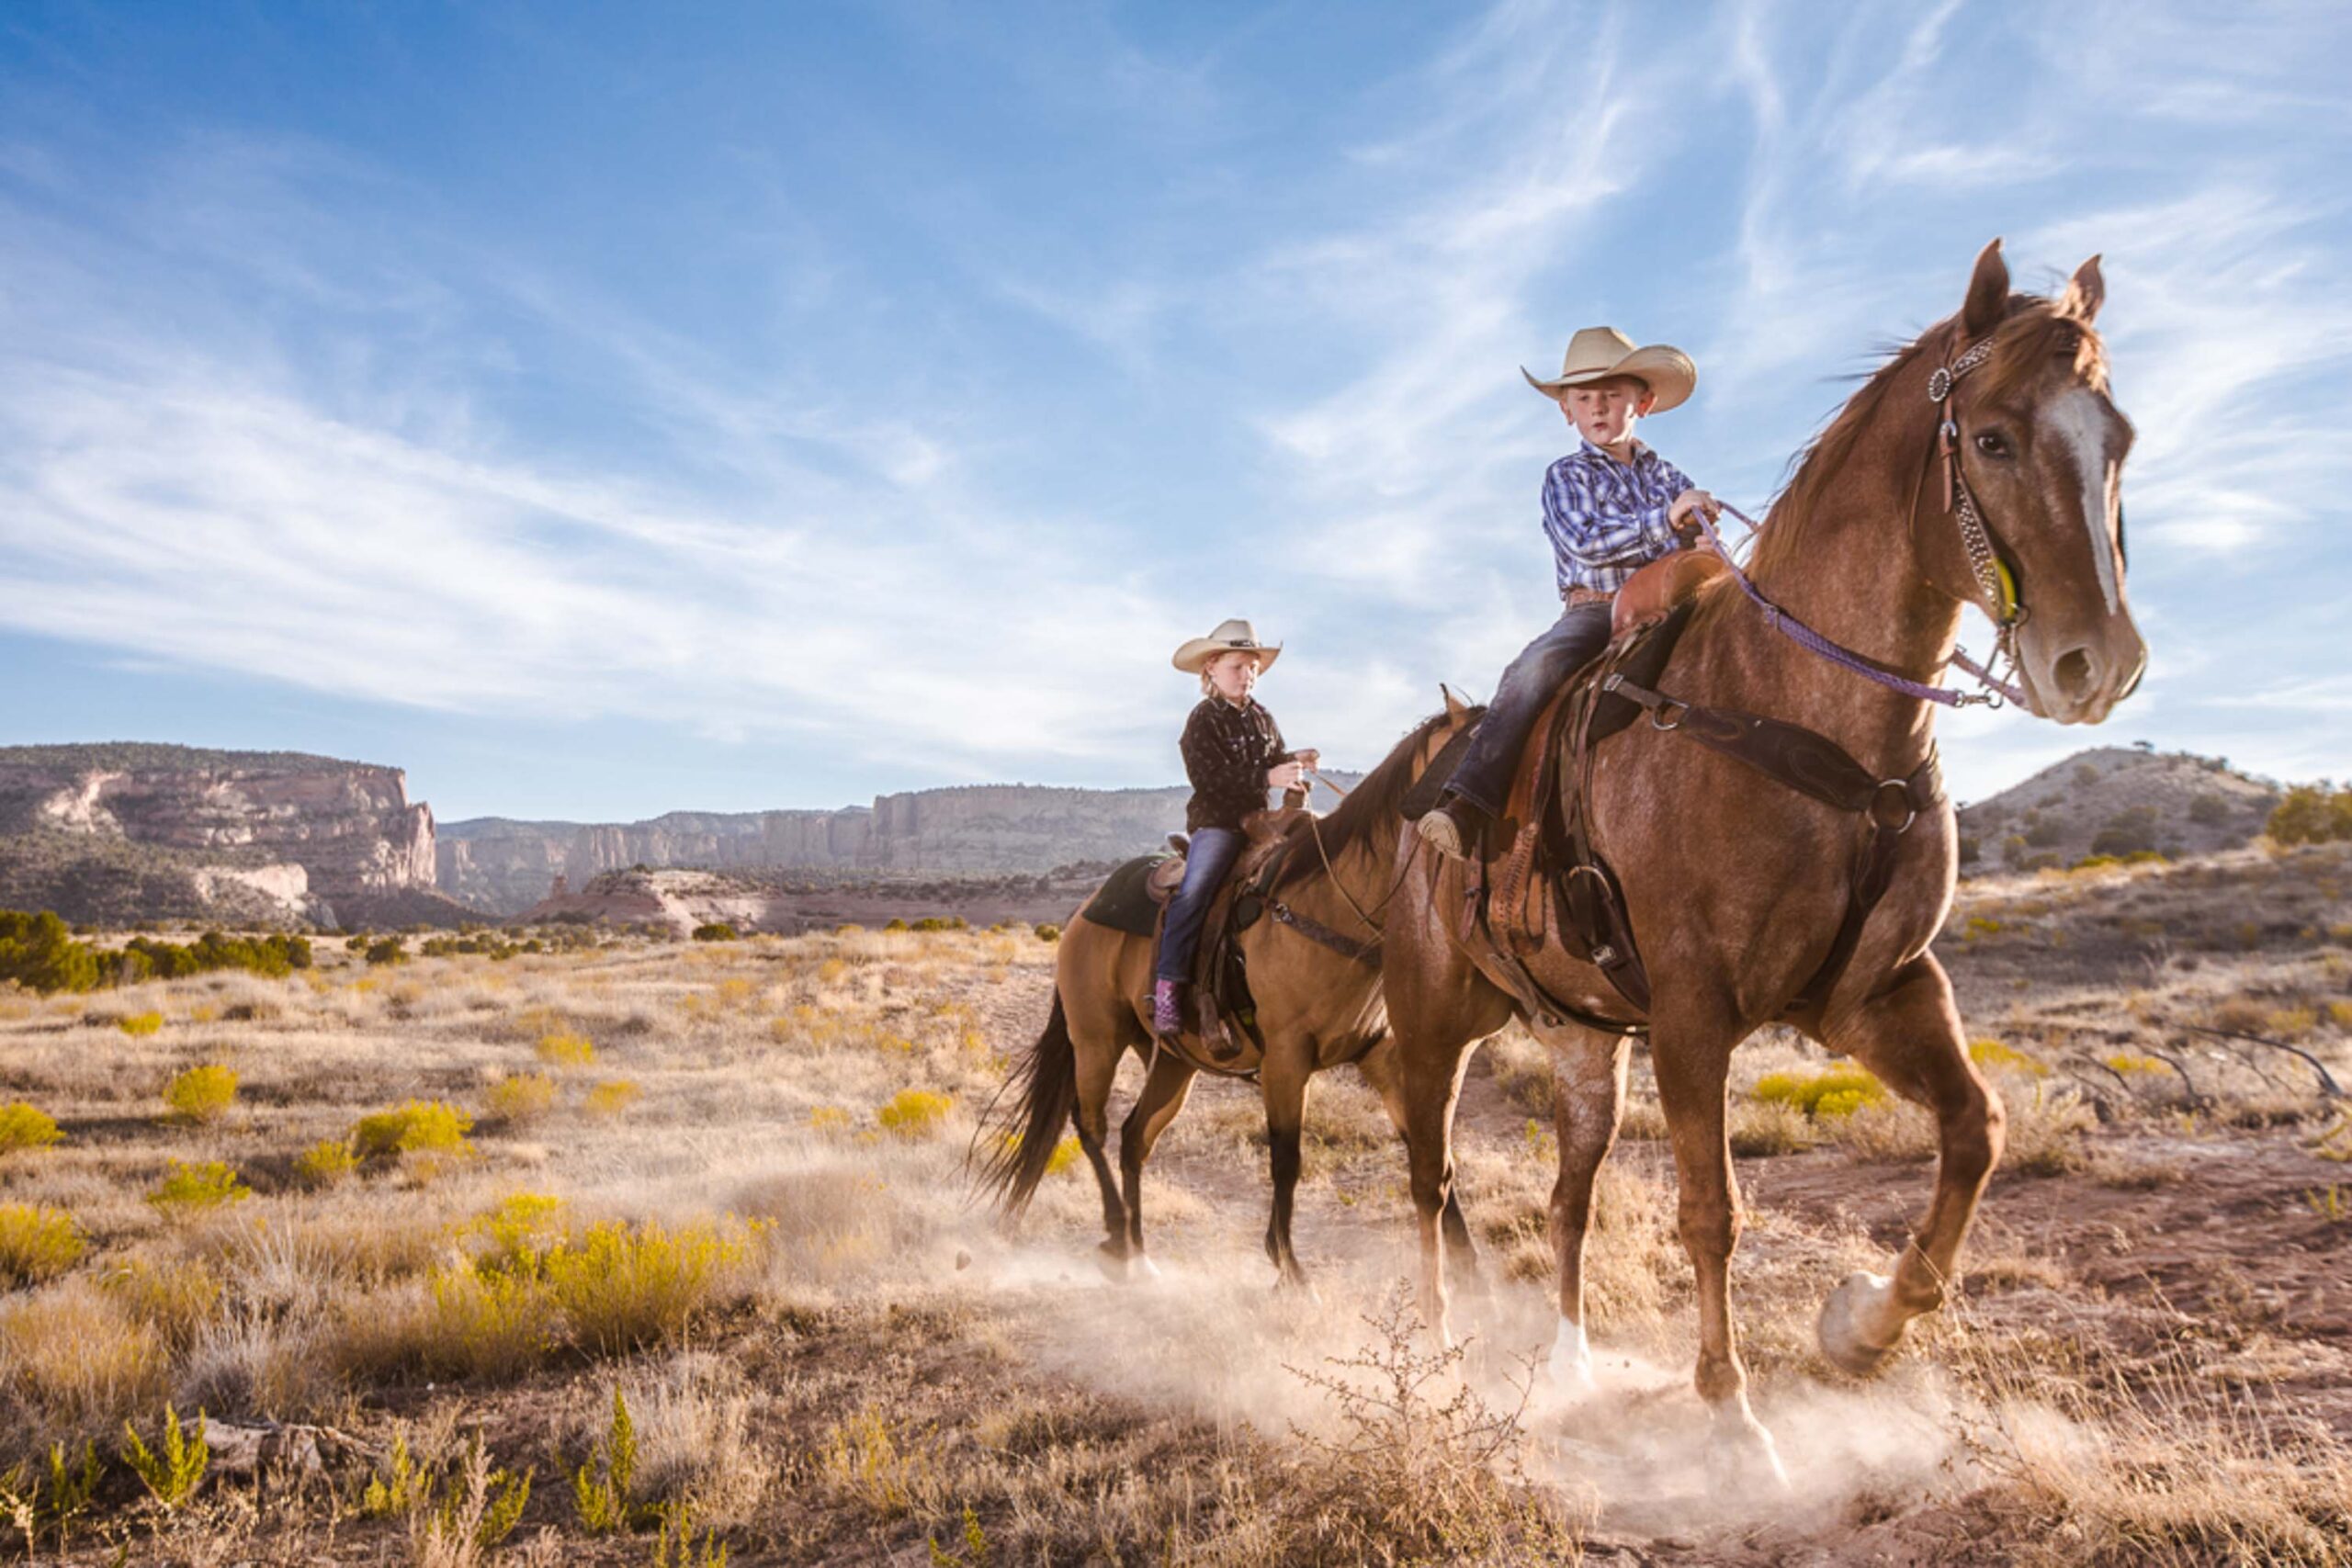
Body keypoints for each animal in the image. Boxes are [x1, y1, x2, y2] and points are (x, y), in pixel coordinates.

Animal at [973, 724, 1467, 1288]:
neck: (1331, 906)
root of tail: (1082, 912)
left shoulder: (1379, 1054)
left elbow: (1432, 1155)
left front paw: (1475, 1277)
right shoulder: (1285, 1059)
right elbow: (1286, 1160)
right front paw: (1289, 1268)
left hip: (1172, 1061)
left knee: (1134, 1135)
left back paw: (1140, 1253)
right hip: (1096, 1038)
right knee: (1091, 1125)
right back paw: (1117, 1239)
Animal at [1374, 240, 2154, 1476]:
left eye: (2114, 439)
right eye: (1990, 439)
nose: (2098, 663)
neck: (1799, 715)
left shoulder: (1877, 991)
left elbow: (1974, 1132)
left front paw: (1861, 1329)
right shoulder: (1695, 1014)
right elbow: (1714, 1211)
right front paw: (1734, 1419)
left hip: (1582, 1040)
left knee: (1566, 1195)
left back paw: (1568, 1363)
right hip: (1431, 1020)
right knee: (1427, 1175)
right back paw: (1443, 1354)